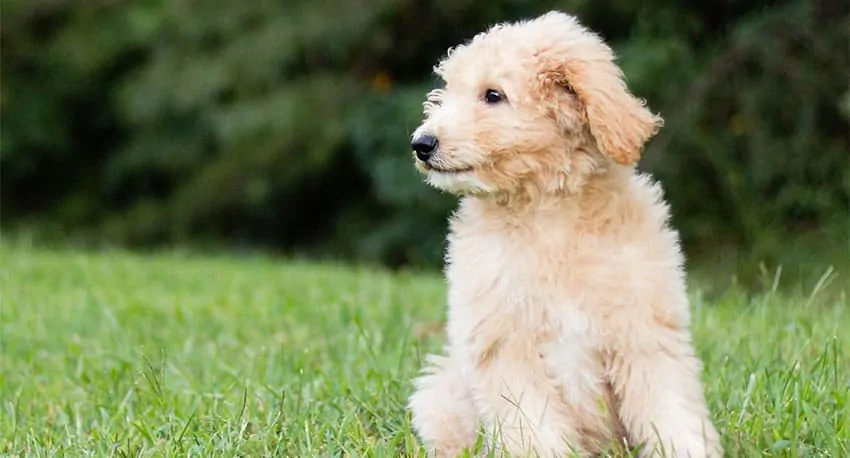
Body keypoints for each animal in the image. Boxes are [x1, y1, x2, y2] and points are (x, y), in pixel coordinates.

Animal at [406, 10, 724, 458]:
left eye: (492, 95)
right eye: (449, 90)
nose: (421, 143)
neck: (548, 214)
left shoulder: (644, 332)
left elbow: (669, 409)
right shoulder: (505, 347)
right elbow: (533, 427)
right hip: (441, 395)